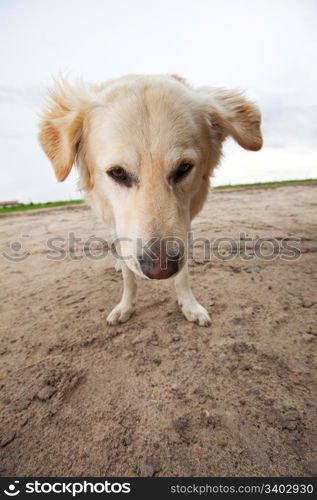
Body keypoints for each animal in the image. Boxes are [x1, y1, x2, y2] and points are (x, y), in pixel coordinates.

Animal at [39, 72, 262, 326]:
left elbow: (183, 275)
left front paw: (190, 306)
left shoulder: (184, 222)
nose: (160, 270)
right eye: (118, 172)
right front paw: (125, 307)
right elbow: (129, 277)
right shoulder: (120, 226)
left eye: (184, 168)